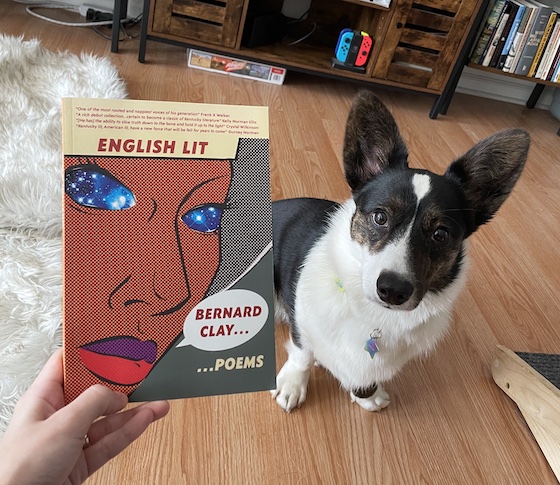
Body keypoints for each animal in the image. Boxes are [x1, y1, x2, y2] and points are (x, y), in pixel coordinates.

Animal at [272, 90, 528, 412]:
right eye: (380, 217)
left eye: (440, 234)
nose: (393, 291)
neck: (376, 316)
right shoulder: (302, 327)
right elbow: (301, 354)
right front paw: (292, 385)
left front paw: (367, 395)